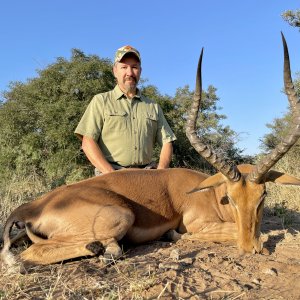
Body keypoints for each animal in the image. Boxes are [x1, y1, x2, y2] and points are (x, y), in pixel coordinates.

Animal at [0, 33, 300, 268]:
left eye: (262, 197)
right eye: (232, 198)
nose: (250, 249)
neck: (211, 195)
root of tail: (30, 208)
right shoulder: (198, 224)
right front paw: (174, 236)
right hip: (121, 215)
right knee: (25, 257)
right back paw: (99, 250)